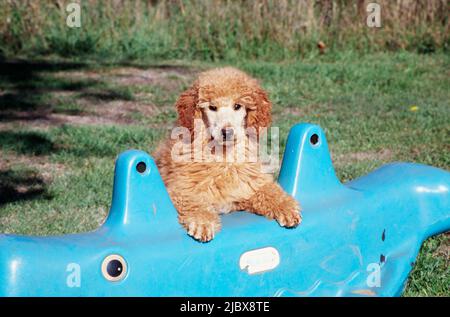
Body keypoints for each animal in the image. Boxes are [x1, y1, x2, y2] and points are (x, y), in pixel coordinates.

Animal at [155, 65, 302, 241]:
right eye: (212, 107)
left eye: (237, 106)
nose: (227, 132)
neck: (223, 156)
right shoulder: (180, 190)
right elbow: (194, 203)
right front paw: (202, 222)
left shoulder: (249, 187)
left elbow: (269, 191)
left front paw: (286, 207)